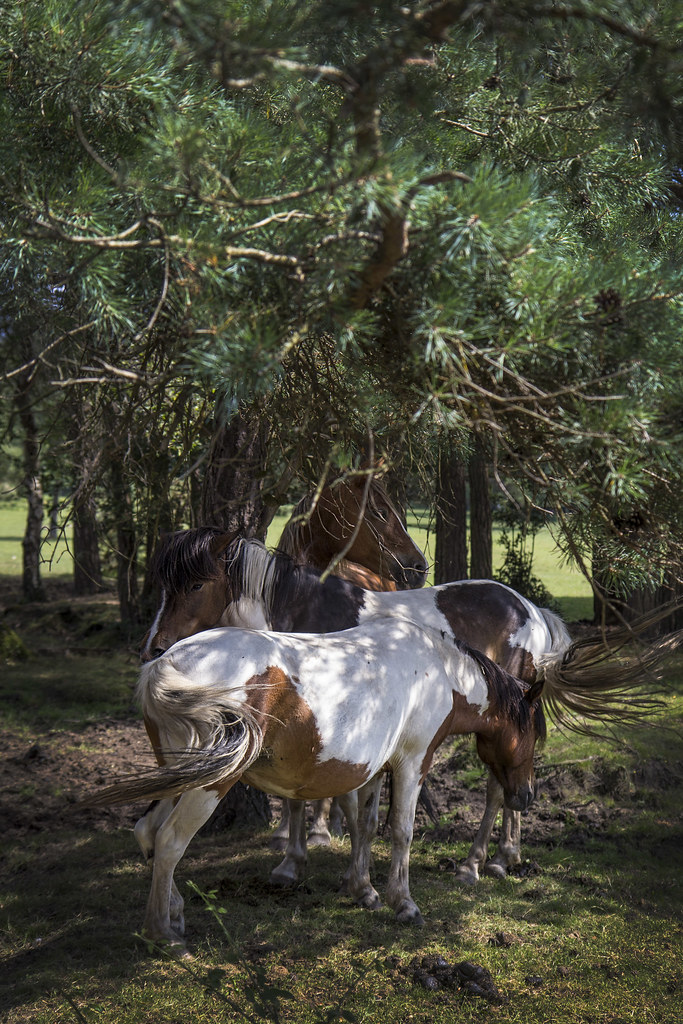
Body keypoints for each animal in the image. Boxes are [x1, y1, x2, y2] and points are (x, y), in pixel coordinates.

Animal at [88, 616, 546, 953]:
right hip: (208, 785)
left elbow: (365, 826)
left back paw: (175, 912)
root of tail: (165, 664)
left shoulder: (375, 768)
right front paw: (403, 903)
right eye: (533, 735)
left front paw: (363, 890)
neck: (439, 670)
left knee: (147, 832)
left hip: (181, 775)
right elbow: (401, 831)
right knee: (169, 842)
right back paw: (162, 934)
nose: (526, 796)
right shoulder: (412, 762)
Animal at [140, 528, 678, 887]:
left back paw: (485, 860)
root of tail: (530, 609)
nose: (155, 646)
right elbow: (320, 794)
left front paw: (311, 855)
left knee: (499, 784)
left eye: (194, 585)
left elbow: (317, 796)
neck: (304, 613)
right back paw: (503, 855)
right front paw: (306, 851)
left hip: (502, 720)